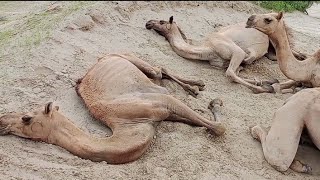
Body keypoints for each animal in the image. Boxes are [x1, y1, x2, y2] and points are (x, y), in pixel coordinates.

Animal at [0, 53, 226, 165]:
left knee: (158, 70)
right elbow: (211, 126)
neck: (127, 124)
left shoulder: (163, 101)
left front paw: (215, 102)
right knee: (159, 74)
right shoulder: (161, 114)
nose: (2, 120)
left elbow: (219, 128)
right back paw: (195, 86)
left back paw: (196, 86)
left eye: (26, 117)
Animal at [146, 16, 308, 94]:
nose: (148, 22)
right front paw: (264, 82)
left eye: (161, 21)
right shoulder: (222, 62)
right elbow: (235, 71)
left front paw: (265, 87)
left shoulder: (237, 52)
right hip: (271, 51)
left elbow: (232, 72)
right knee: (276, 55)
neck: (208, 49)